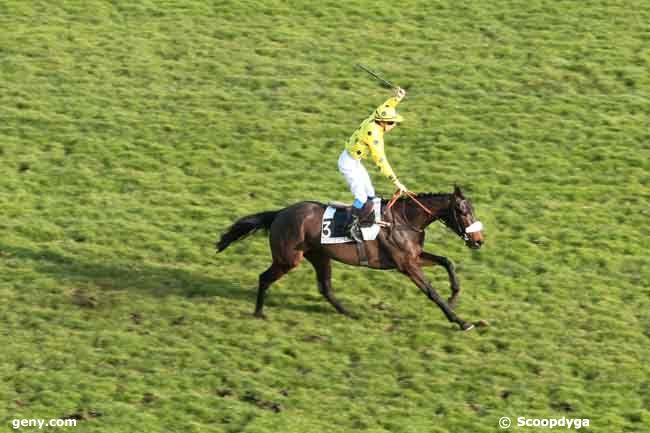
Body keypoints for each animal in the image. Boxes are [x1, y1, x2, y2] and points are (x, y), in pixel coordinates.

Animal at [216, 184, 480, 330]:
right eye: (461, 211)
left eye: (472, 210)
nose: (478, 240)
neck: (404, 220)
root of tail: (280, 213)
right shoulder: (406, 265)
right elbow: (432, 292)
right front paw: (460, 321)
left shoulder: (413, 256)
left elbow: (447, 261)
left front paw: (454, 296)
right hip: (288, 259)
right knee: (264, 277)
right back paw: (259, 312)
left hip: (319, 256)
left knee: (325, 287)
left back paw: (348, 312)